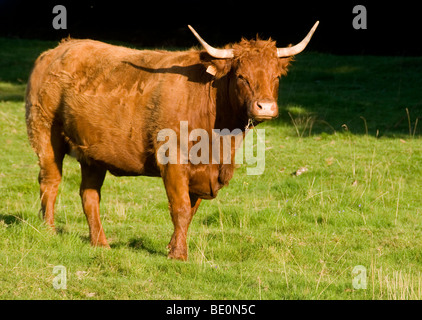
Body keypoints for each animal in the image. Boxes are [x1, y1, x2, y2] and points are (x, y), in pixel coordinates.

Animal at [24, 22, 318, 258]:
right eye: (241, 77)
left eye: (276, 77)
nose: (265, 107)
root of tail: (58, 50)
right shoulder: (172, 161)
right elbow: (180, 208)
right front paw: (178, 254)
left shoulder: (203, 174)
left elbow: (191, 211)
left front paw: (173, 246)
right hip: (45, 134)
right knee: (50, 181)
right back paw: (49, 230)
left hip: (93, 153)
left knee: (89, 195)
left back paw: (101, 243)